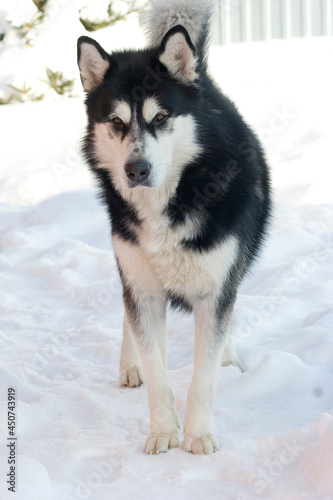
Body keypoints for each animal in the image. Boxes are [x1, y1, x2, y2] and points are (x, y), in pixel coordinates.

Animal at [77, 0, 270, 454]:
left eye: (161, 117)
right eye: (116, 122)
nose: (136, 170)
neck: (174, 197)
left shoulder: (215, 291)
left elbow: (203, 378)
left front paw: (199, 437)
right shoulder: (143, 290)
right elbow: (158, 375)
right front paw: (163, 433)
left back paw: (229, 358)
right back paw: (130, 365)